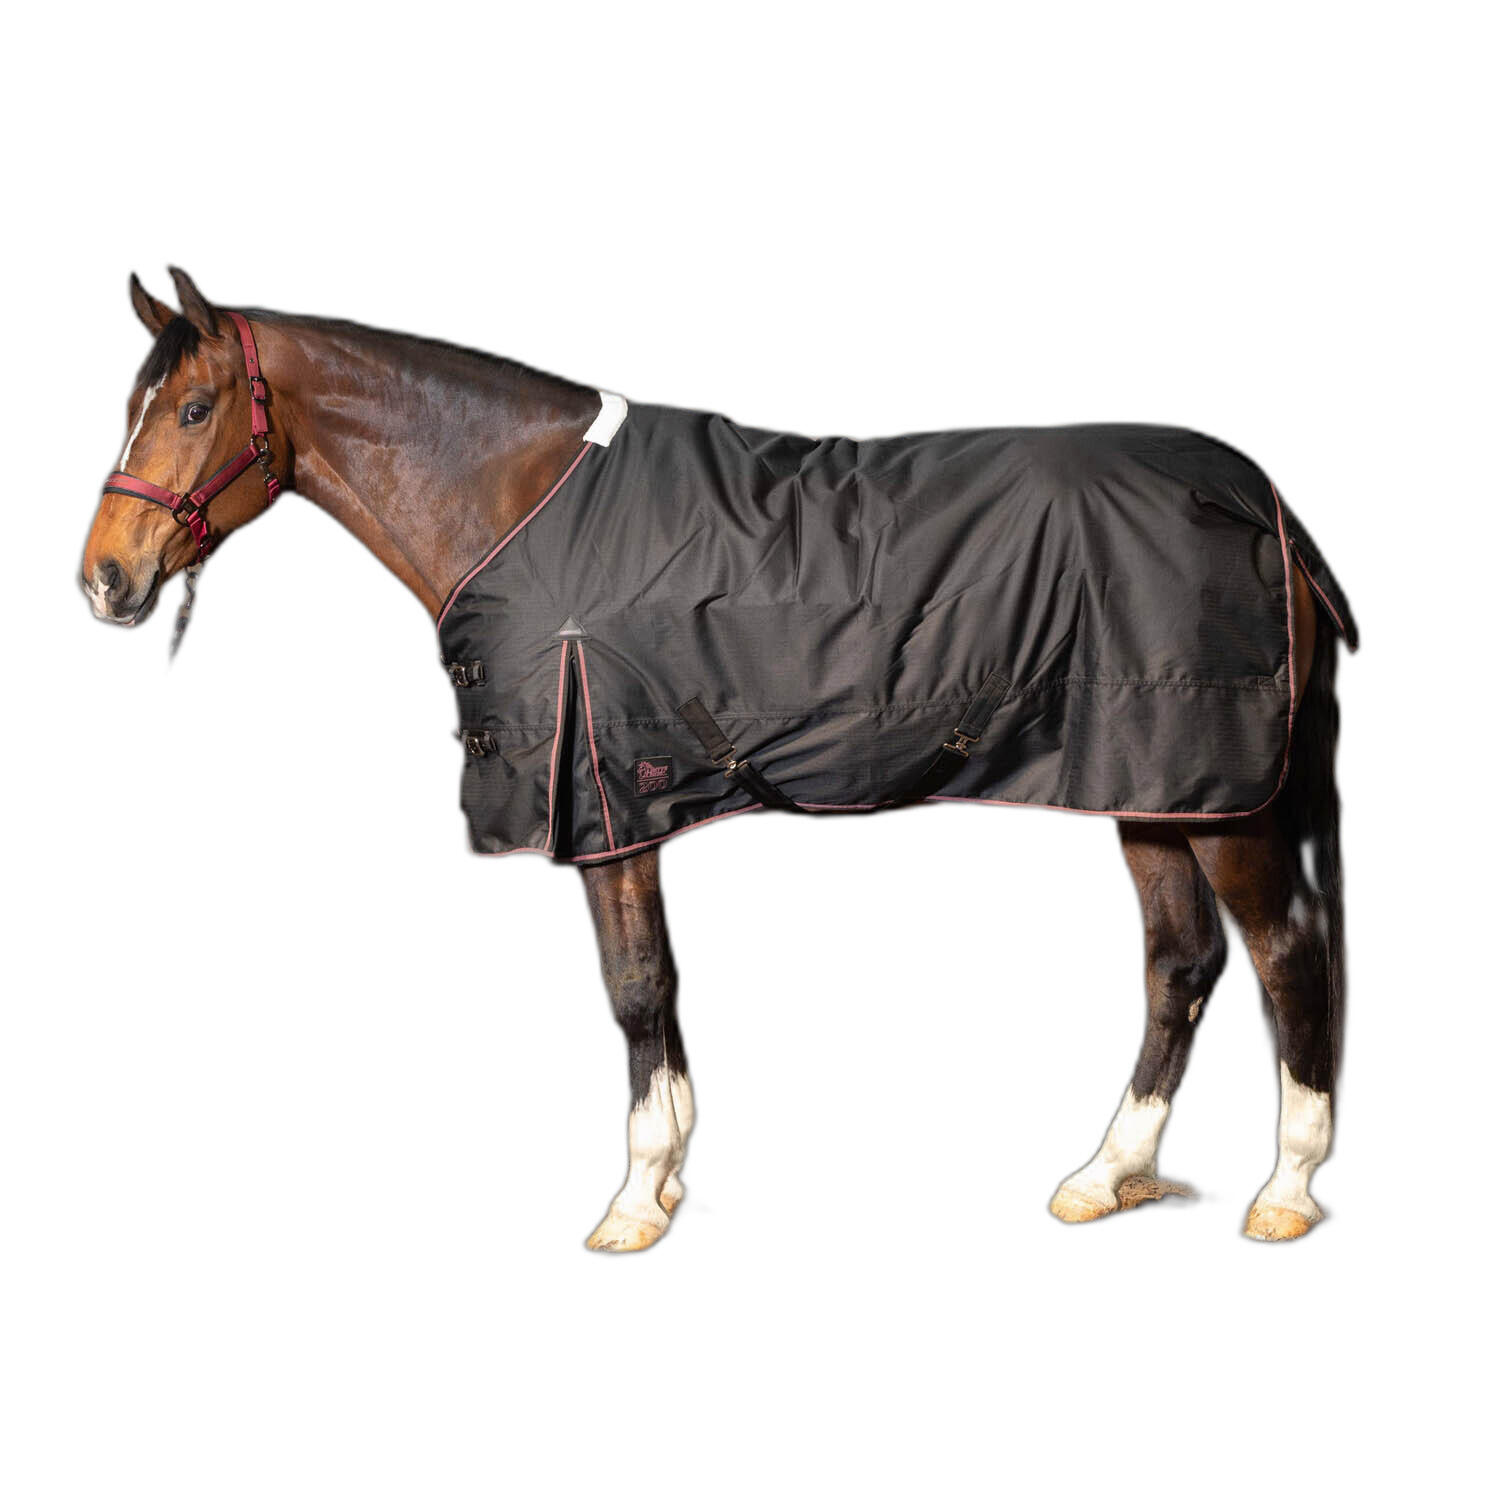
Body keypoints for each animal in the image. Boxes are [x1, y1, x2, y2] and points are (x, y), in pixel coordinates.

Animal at [81, 269, 1354, 1250]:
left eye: (192, 407)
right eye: (141, 403)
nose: (104, 577)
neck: (524, 503)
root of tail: (1265, 503)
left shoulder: (606, 802)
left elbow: (638, 987)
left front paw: (636, 1196)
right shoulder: (623, 803)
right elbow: (656, 988)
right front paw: (669, 1179)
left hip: (1225, 801)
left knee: (1286, 952)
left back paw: (1286, 1190)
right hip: (1153, 787)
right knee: (1181, 965)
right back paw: (1104, 1175)